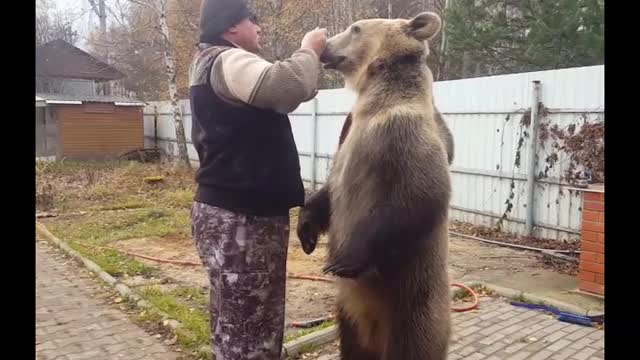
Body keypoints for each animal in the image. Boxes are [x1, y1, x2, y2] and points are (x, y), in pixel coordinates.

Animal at [298, 11, 452, 360]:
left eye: (355, 29)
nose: (325, 47)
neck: (376, 97)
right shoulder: (347, 132)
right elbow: (329, 189)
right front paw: (307, 230)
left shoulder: (403, 134)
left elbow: (423, 193)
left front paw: (344, 260)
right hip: (348, 316)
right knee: (352, 344)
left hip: (411, 302)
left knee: (414, 345)